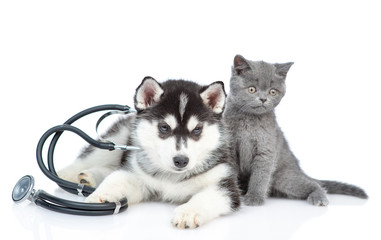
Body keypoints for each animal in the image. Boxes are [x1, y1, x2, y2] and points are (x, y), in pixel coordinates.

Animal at [58, 77, 239, 229]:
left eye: (197, 129)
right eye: (164, 127)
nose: (181, 161)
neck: (172, 177)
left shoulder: (225, 184)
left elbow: (206, 197)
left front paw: (188, 212)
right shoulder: (139, 176)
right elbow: (116, 178)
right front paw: (100, 194)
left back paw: (88, 177)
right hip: (118, 137)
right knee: (94, 158)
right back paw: (69, 174)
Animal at [224, 54, 366, 206]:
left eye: (272, 91)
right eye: (252, 89)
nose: (263, 99)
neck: (249, 120)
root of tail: (299, 169)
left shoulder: (266, 150)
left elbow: (260, 176)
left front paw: (254, 198)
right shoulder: (229, 148)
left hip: (284, 177)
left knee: (314, 184)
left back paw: (319, 197)